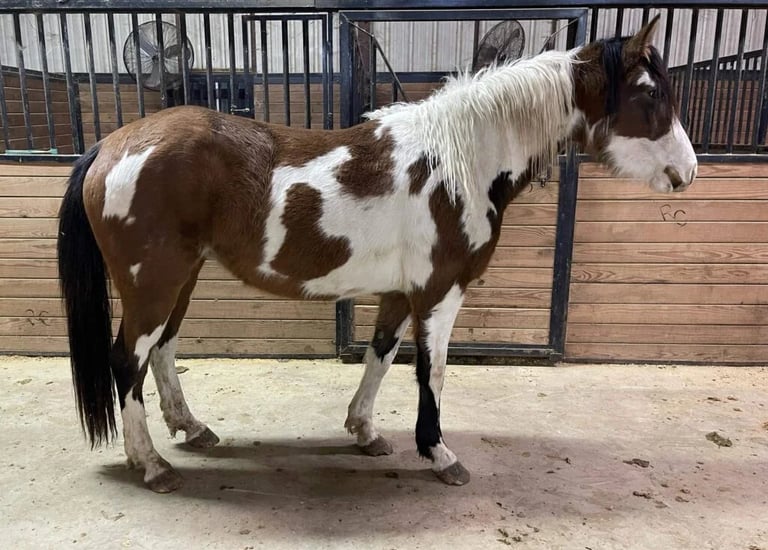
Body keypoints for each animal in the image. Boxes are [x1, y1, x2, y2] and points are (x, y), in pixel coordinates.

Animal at [57, 15, 696, 493]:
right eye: (648, 93)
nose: (687, 172)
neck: (459, 162)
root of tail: (111, 145)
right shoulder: (441, 292)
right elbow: (431, 370)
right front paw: (439, 454)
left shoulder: (400, 292)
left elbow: (381, 356)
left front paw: (364, 431)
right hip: (153, 282)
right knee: (127, 361)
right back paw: (152, 465)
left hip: (181, 278)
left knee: (162, 351)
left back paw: (192, 430)